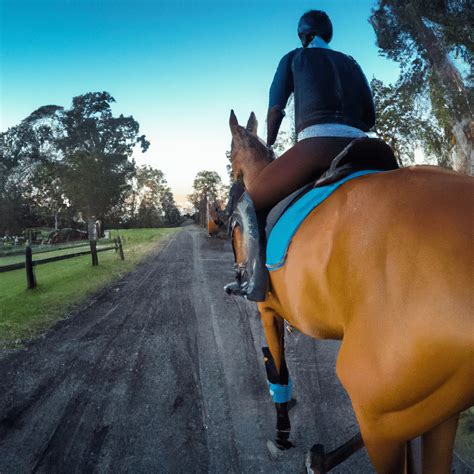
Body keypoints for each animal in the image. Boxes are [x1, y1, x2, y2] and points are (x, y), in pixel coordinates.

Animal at [228, 112, 472, 474]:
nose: (232, 182)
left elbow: (278, 368)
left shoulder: (266, 310)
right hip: (430, 410)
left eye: (230, 154)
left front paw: (282, 432)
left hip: (377, 409)